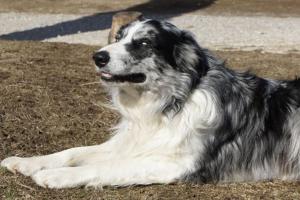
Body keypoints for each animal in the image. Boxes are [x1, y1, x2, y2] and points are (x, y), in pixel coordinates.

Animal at [1, 18, 300, 188]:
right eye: (118, 37)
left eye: (144, 43)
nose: (97, 56)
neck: (170, 102)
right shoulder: (134, 142)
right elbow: (75, 151)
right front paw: (28, 162)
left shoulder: (177, 164)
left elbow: (108, 167)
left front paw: (58, 176)